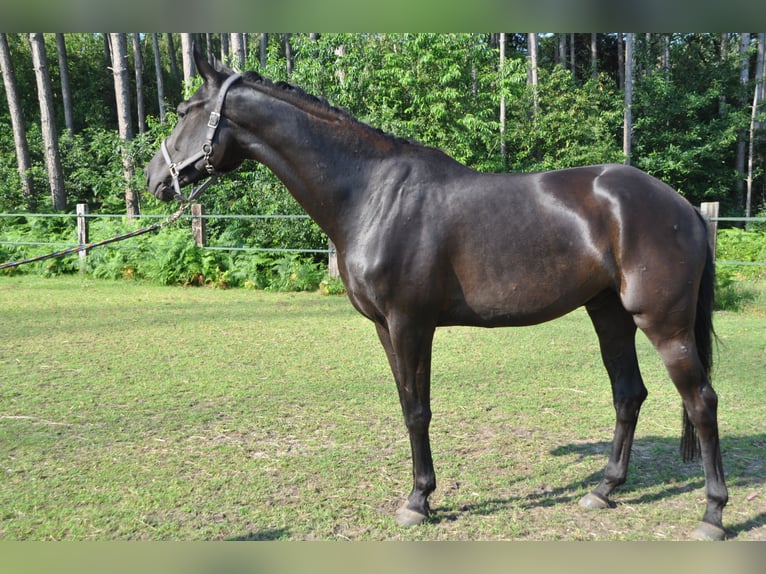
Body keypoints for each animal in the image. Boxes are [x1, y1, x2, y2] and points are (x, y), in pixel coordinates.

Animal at [147, 51, 728, 544]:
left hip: (664, 324)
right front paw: (421, 495)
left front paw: (418, 502)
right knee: (628, 394)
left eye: (184, 112)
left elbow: (418, 412)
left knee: (701, 402)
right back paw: (604, 490)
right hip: (609, 314)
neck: (372, 194)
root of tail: (682, 207)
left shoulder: (410, 323)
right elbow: (409, 405)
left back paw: (712, 515)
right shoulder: (386, 327)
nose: (155, 179)